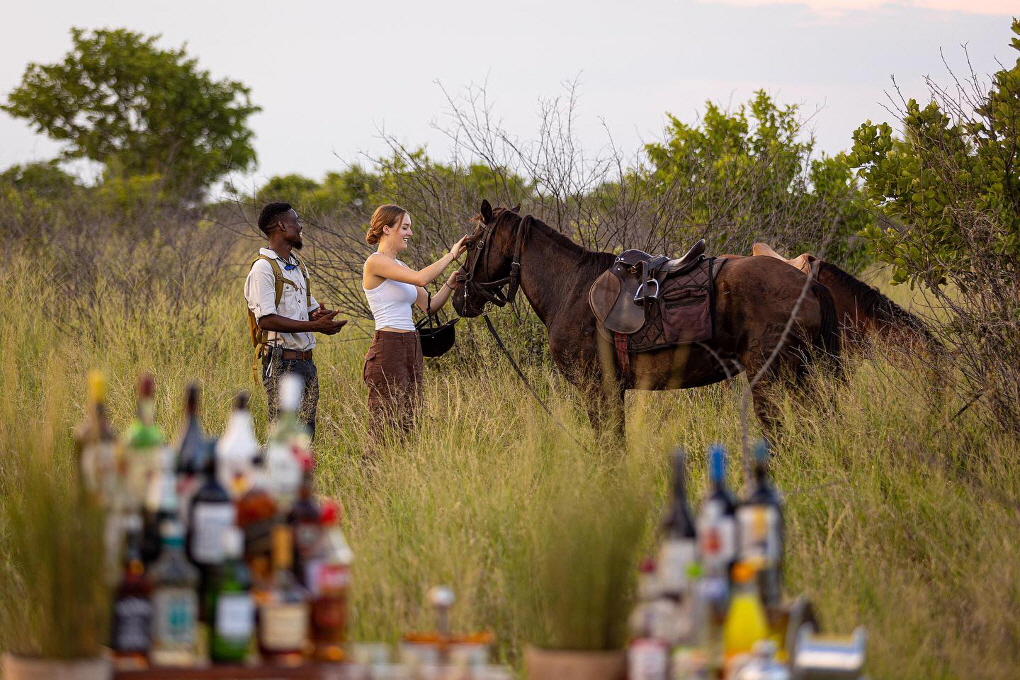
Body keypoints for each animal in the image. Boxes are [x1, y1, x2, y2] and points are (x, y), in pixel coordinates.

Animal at [454, 199, 844, 434]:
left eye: (471, 244)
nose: (459, 296)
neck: (570, 287)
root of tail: (807, 283)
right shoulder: (611, 391)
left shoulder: (596, 388)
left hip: (771, 377)